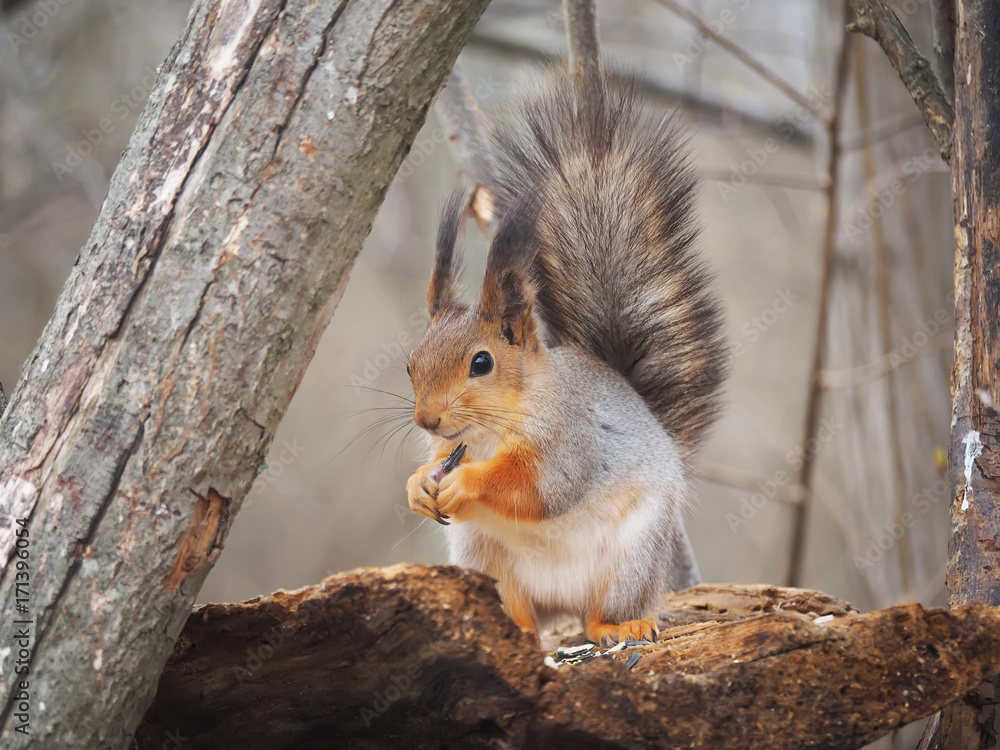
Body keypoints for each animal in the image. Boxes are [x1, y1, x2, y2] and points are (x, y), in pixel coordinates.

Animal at [405, 69, 727, 646]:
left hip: (632, 558)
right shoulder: (449, 447)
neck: (489, 431)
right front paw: (420, 485)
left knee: (603, 610)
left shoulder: (571, 441)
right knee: (520, 614)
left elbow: (539, 488)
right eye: (410, 365)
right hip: (483, 558)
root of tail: (561, 603)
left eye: (481, 363)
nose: (428, 420)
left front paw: (467, 482)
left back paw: (622, 624)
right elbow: (437, 467)